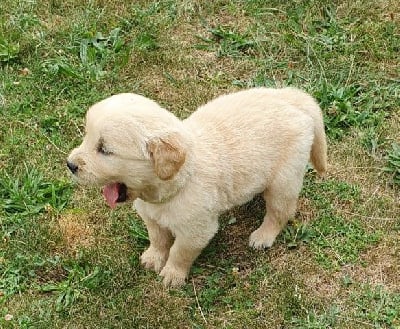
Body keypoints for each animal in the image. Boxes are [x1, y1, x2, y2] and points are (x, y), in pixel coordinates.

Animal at [67, 88, 326, 288]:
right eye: (87, 137)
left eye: (104, 150)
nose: (70, 165)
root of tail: (292, 97)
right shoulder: (151, 216)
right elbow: (158, 239)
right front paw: (153, 257)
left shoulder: (196, 230)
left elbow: (179, 252)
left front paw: (173, 274)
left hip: (284, 180)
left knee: (280, 212)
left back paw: (264, 235)